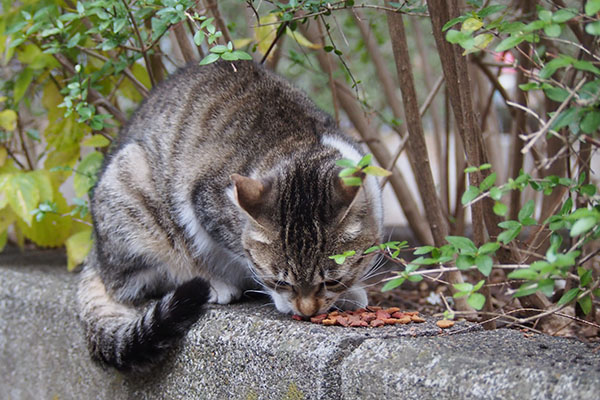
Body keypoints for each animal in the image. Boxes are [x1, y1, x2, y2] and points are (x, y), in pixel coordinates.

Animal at [77, 60, 382, 372]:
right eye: (281, 282)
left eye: (331, 282)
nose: (307, 312)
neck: (297, 144)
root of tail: (95, 256)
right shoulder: (204, 201)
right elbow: (240, 254)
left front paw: (349, 292)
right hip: (132, 192)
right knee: (144, 278)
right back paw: (214, 283)